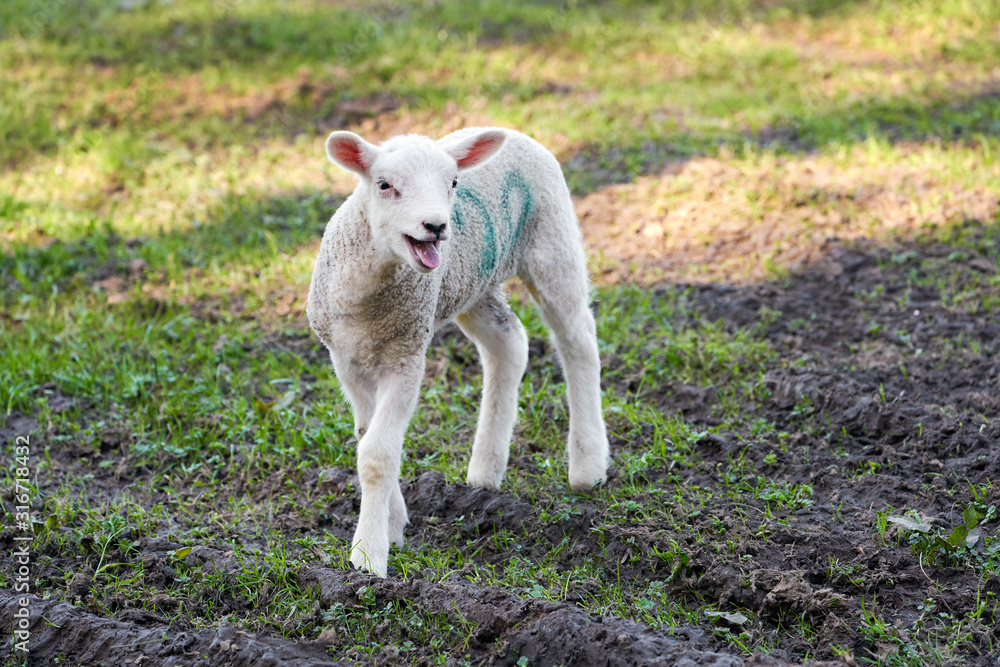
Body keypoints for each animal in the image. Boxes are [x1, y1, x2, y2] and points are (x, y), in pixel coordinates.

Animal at [304, 128, 608, 576]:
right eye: (384, 185)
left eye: (453, 183)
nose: (436, 226)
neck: (369, 301)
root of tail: (514, 130)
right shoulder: (347, 360)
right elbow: (366, 438)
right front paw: (393, 524)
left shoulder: (407, 355)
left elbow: (377, 453)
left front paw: (368, 556)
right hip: (475, 283)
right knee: (509, 342)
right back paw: (485, 472)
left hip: (552, 241)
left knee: (578, 340)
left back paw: (588, 466)